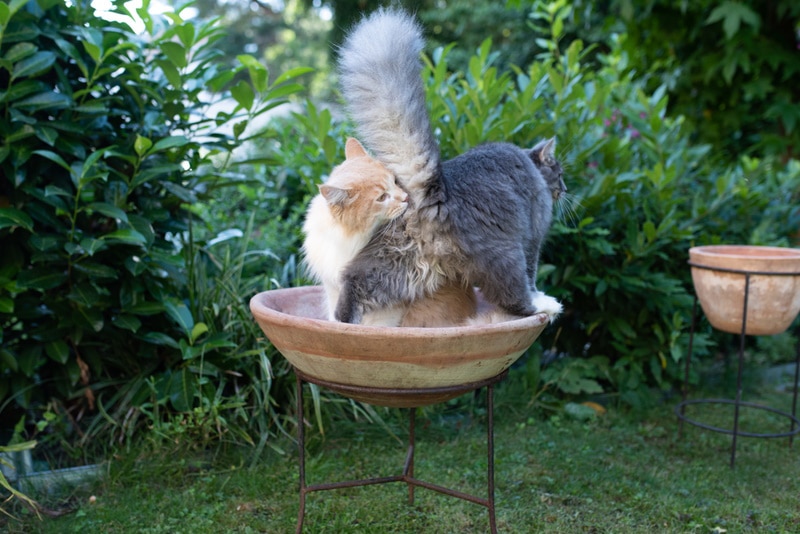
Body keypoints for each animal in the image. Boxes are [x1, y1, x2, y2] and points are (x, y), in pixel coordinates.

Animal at [332, 9, 564, 326]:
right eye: (560, 173)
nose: (565, 188)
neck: (528, 161)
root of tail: (433, 190)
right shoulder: (533, 238)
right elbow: (533, 275)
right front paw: (540, 295)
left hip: (395, 265)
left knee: (353, 282)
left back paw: (343, 326)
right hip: (506, 254)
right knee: (514, 297)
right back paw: (545, 307)